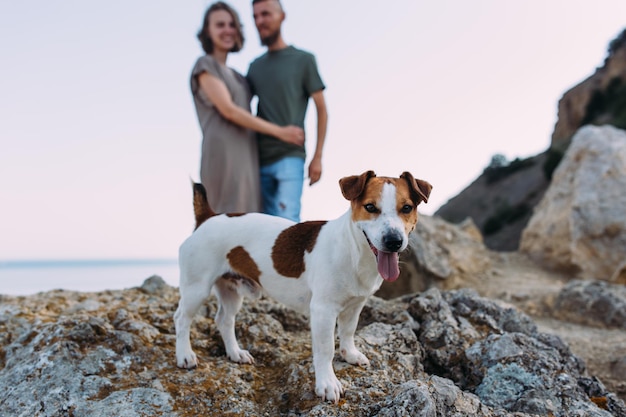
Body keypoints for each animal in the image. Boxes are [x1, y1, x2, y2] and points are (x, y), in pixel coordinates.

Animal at [173, 171, 432, 402]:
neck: (353, 249)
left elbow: (348, 332)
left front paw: (349, 354)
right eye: (370, 207)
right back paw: (185, 355)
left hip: (231, 289)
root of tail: (208, 217)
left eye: (407, 208)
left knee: (224, 320)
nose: (394, 241)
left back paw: (235, 353)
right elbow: (326, 350)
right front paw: (327, 383)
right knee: (181, 318)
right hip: (197, 288)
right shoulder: (323, 311)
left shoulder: (355, 305)